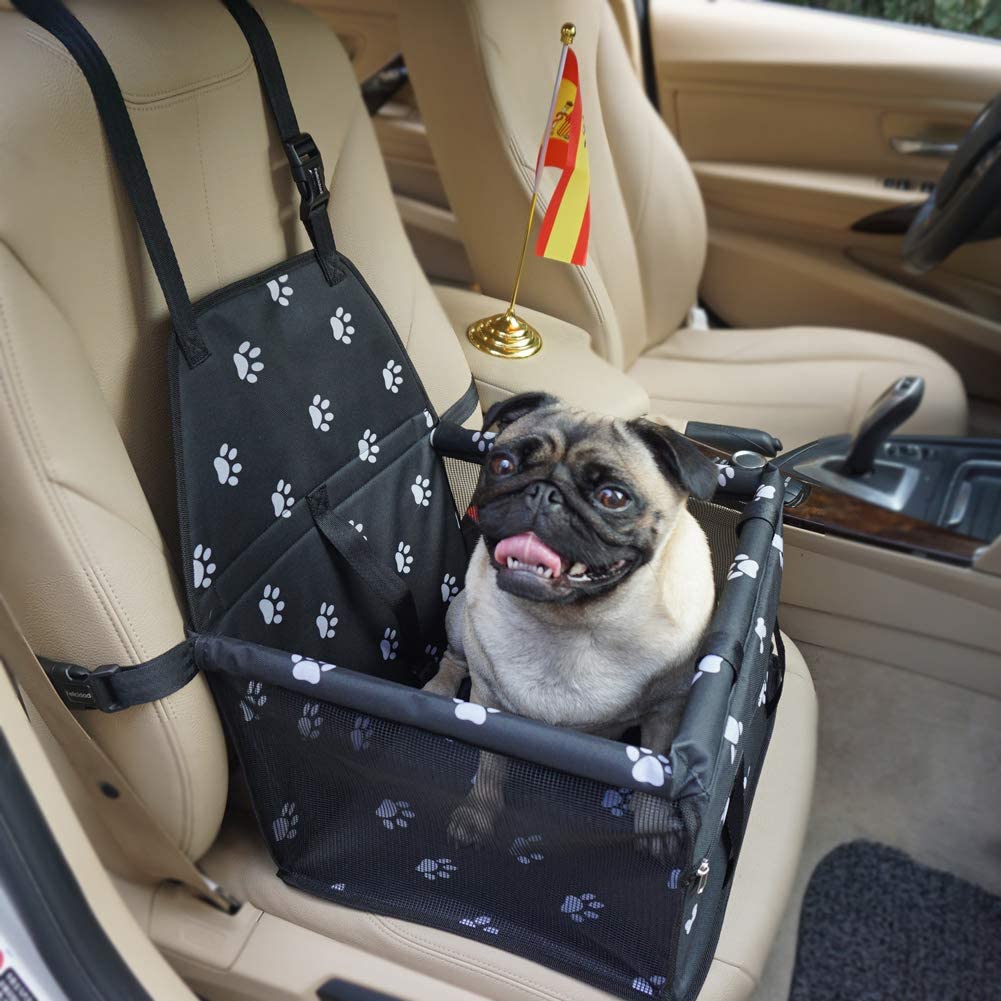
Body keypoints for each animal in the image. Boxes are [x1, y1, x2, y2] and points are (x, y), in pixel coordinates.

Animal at [424, 390, 720, 844]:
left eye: (613, 497)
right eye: (502, 464)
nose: (543, 492)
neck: (573, 624)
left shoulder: (665, 717)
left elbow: (653, 785)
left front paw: (653, 831)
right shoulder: (488, 705)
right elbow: (490, 768)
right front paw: (478, 813)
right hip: (458, 619)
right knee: (452, 659)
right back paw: (437, 690)